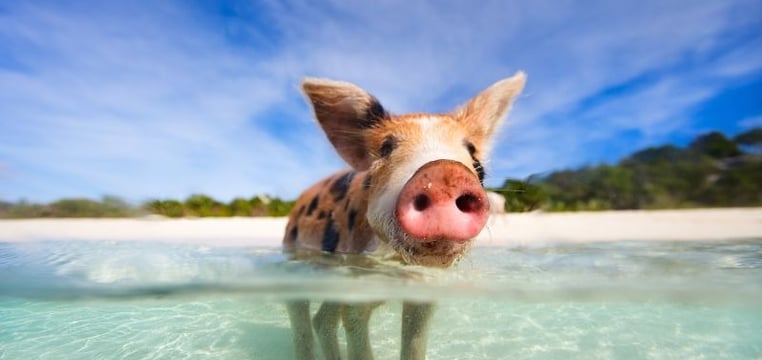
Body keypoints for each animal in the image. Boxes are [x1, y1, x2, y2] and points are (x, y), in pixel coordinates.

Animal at [282, 71, 524, 358]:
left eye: (473, 153)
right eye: (386, 147)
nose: (443, 172)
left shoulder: (425, 290)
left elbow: (415, 341)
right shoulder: (356, 286)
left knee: (323, 320)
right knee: (301, 314)